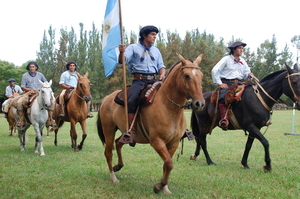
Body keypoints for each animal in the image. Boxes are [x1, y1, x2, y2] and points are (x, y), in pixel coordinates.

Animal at [97, 53, 205, 194]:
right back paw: (113, 177)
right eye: (187, 75)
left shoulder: (173, 143)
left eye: (201, 75)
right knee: (108, 152)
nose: (199, 104)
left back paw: (118, 166)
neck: (168, 107)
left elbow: (167, 164)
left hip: (124, 132)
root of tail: (106, 98)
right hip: (108, 129)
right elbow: (169, 163)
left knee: (118, 143)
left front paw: (164, 188)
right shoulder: (157, 141)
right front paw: (159, 186)